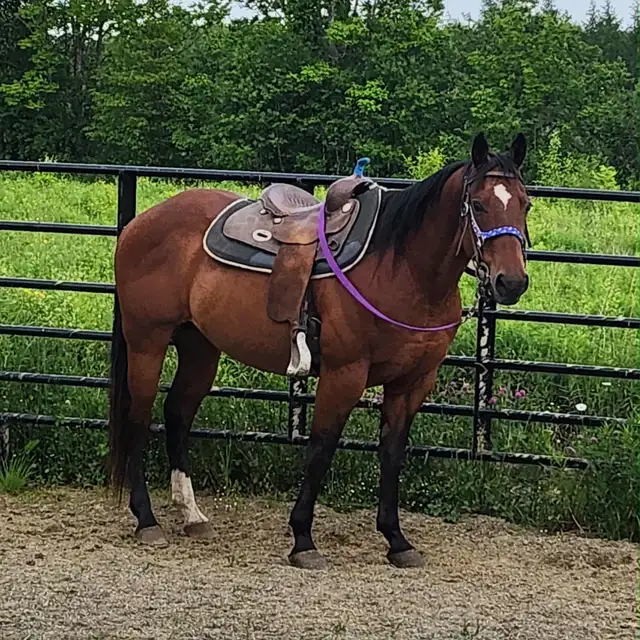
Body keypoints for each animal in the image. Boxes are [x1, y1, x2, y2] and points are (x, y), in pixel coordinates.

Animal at [107, 132, 531, 569]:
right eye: (478, 205)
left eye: (525, 203)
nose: (511, 282)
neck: (402, 270)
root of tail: (140, 223)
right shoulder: (345, 374)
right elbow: (321, 449)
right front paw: (303, 540)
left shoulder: (413, 383)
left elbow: (392, 454)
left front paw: (397, 540)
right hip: (148, 343)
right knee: (139, 417)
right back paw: (146, 520)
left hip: (200, 347)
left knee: (177, 414)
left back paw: (192, 516)